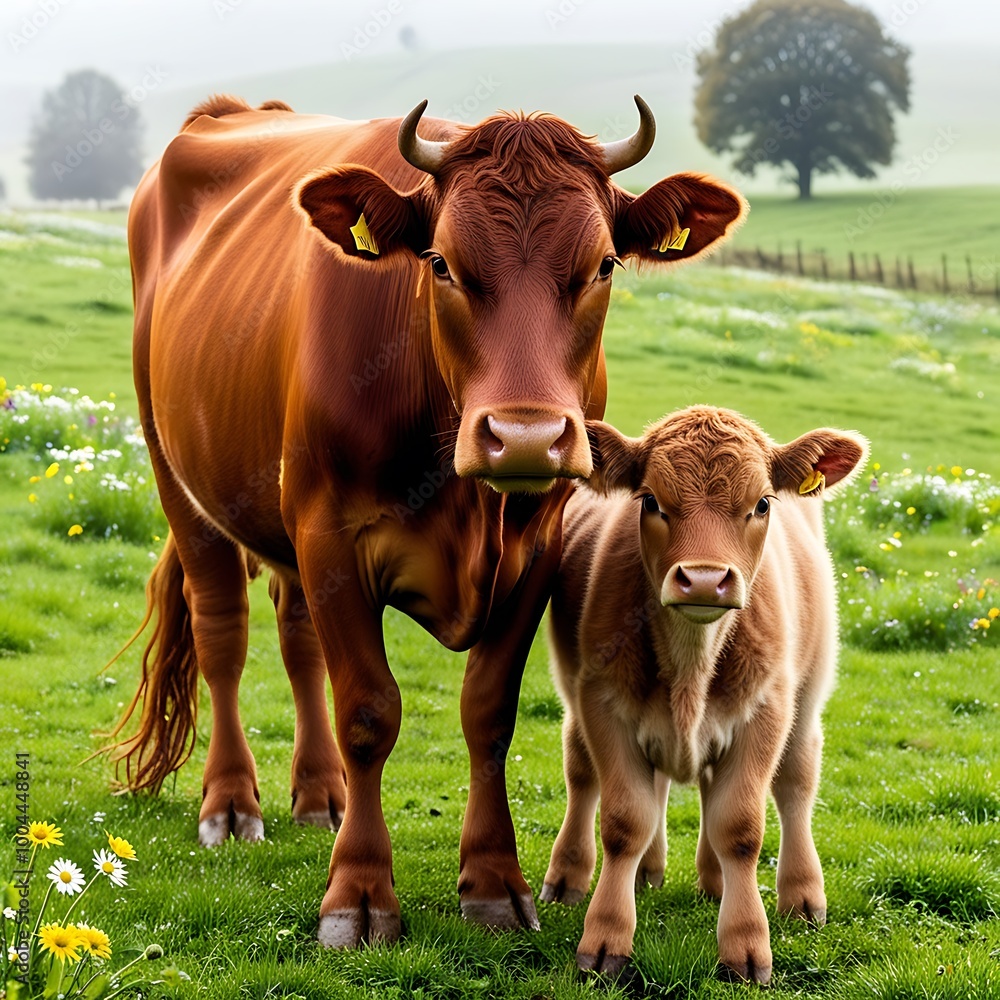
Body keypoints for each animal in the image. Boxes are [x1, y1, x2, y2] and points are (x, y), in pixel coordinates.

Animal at [111, 94, 746, 948]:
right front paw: (358, 895)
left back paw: (320, 795)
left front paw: (495, 882)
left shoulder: (538, 545)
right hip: (178, 477)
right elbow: (368, 712)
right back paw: (232, 803)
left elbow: (489, 711)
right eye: (441, 263)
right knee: (223, 636)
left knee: (296, 635)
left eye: (604, 265)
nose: (525, 436)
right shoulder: (330, 536)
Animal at [540, 407, 867, 982]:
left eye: (762, 503)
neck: (691, 664)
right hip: (578, 700)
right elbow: (625, 821)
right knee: (586, 776)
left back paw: (796, 896)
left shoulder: (766, 710)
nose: (705, 579)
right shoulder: (603, 704)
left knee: (794, 783)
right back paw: (585, 877)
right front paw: (605, 939)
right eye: (649, 500)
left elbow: (739, 826)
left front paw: (746, 944)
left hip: (806, 700)